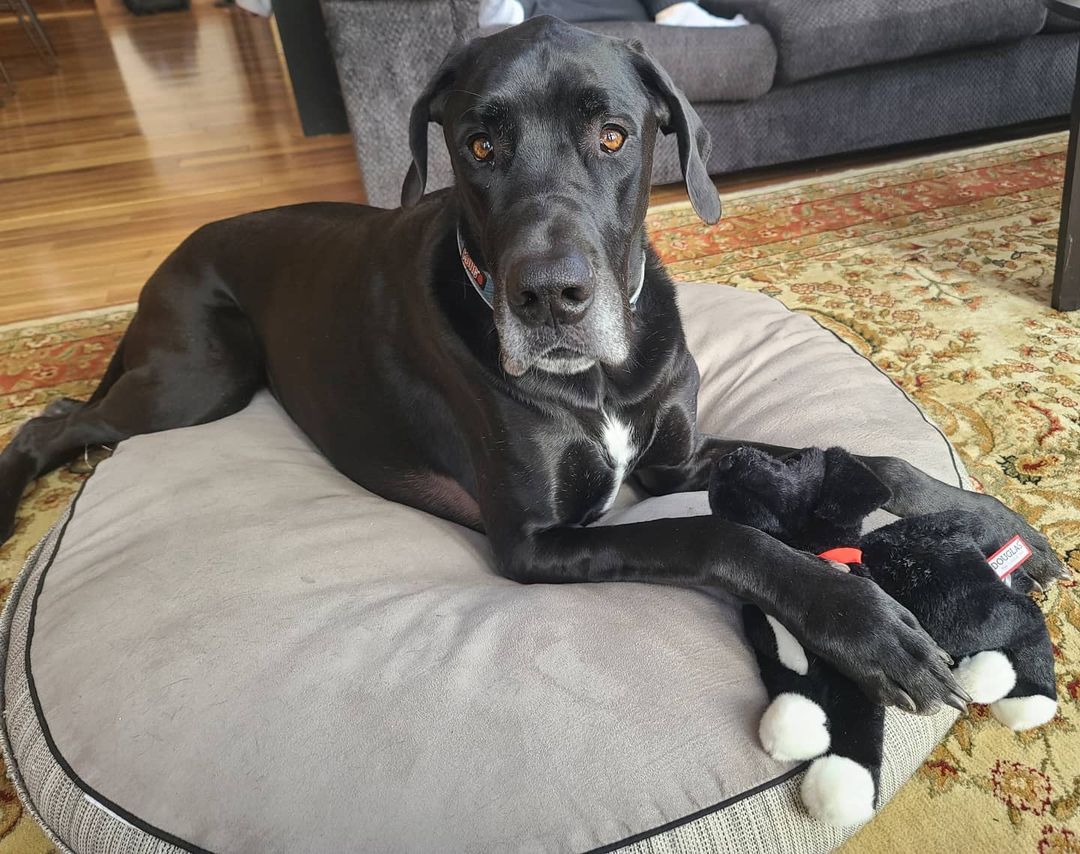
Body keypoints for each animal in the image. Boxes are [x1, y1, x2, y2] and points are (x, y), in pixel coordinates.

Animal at [0, 18, 1062, 716]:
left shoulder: (671, 459)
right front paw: (863, 620)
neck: (597, 376)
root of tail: (178, 249)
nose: (551, 296)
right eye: (479, 143)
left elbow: (861, 460)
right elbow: (722, 535)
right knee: (52, 416)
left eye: (614, 134)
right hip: (198, 383)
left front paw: (997, 521)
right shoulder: (539, 540)